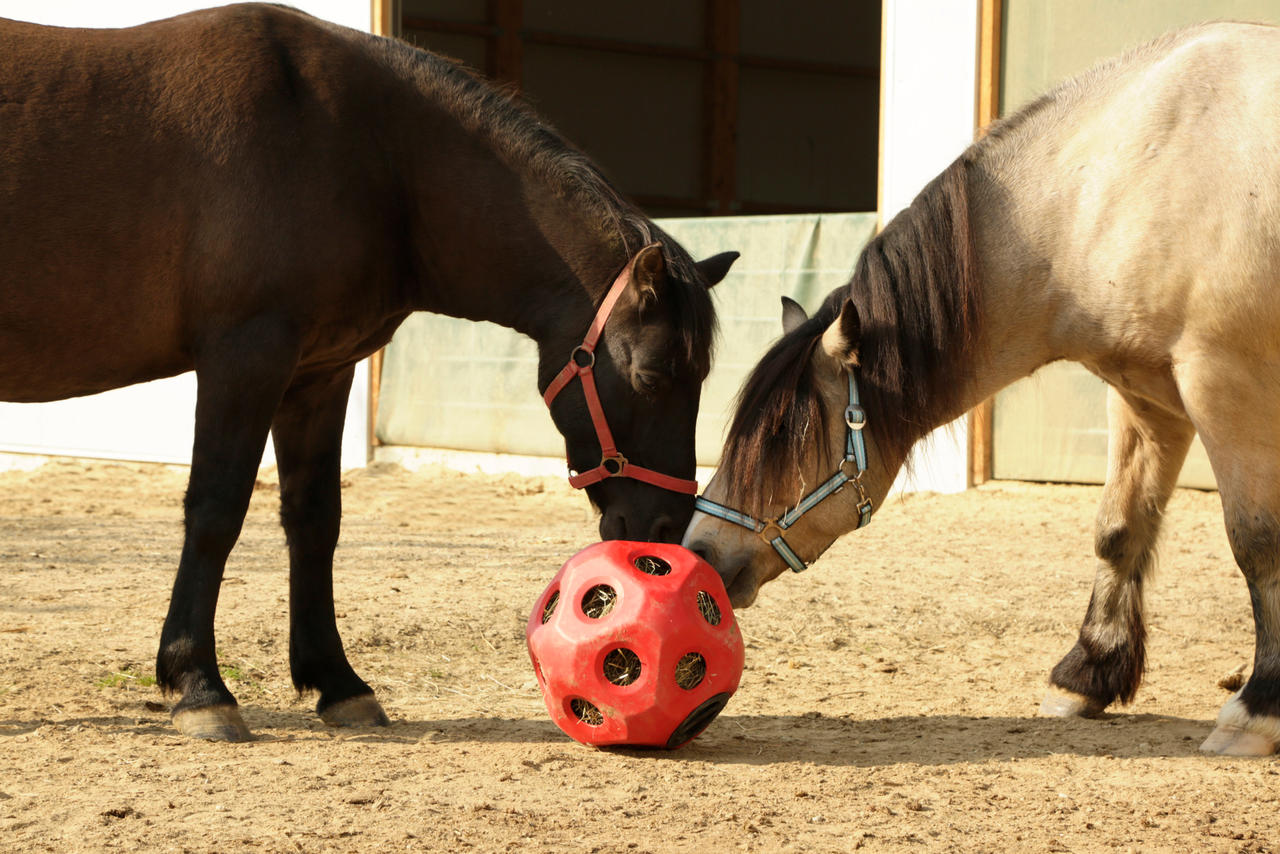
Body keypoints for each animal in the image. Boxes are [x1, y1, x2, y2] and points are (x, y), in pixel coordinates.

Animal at [0, 3, 737, 742]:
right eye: (652, 376)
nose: (666, 531)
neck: (366, 151)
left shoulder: (318, 375)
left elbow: (315, 518)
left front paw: (337, 682)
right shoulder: (245, 356)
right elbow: (215, 511)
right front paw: (199, 685)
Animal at [686, 21, 1280, 752]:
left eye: (782, 438)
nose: (700, 551)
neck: (1117, 180)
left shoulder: (1223, 386)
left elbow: (1256, 543)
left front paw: (1257, 709)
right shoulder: (1146, 397)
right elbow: (1118, 528)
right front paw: (1086, 674)